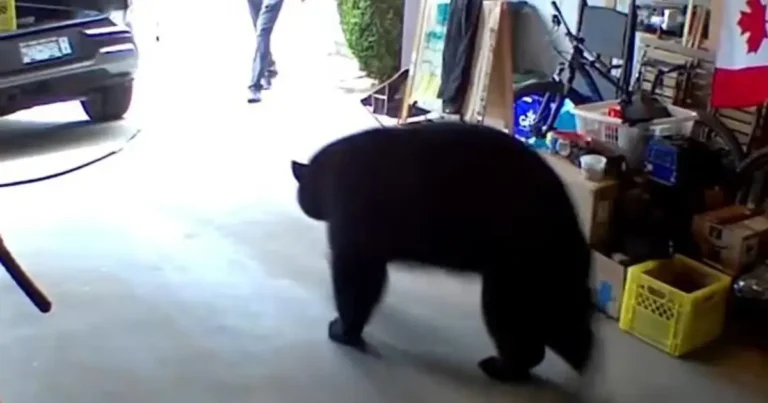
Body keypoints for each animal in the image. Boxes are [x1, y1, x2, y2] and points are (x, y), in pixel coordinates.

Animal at [292, 121, 596, 384]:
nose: (307, 205)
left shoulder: (356, 239)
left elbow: (355, 288)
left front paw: (345, 332)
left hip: (514, 277)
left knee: (520, 332)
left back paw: (503, 368)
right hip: (544, 284)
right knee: (566, 331)